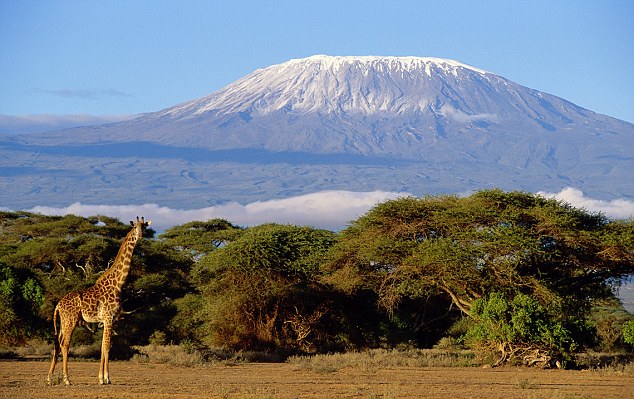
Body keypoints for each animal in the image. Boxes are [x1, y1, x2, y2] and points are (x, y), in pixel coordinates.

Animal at [47, 217, 151, 386]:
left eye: (144, 227)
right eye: (135, 227)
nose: (141, 235)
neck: (118, 284)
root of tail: (58, 305)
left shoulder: (108, 320)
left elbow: (102, 347)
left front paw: (101, 378)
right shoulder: (108, 318)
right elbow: (107, 346)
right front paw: (107, 378)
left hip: (63, 322)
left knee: (57, 343)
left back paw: (49, 378)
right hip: (71, 320)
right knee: (65, 344)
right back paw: (67, 379)